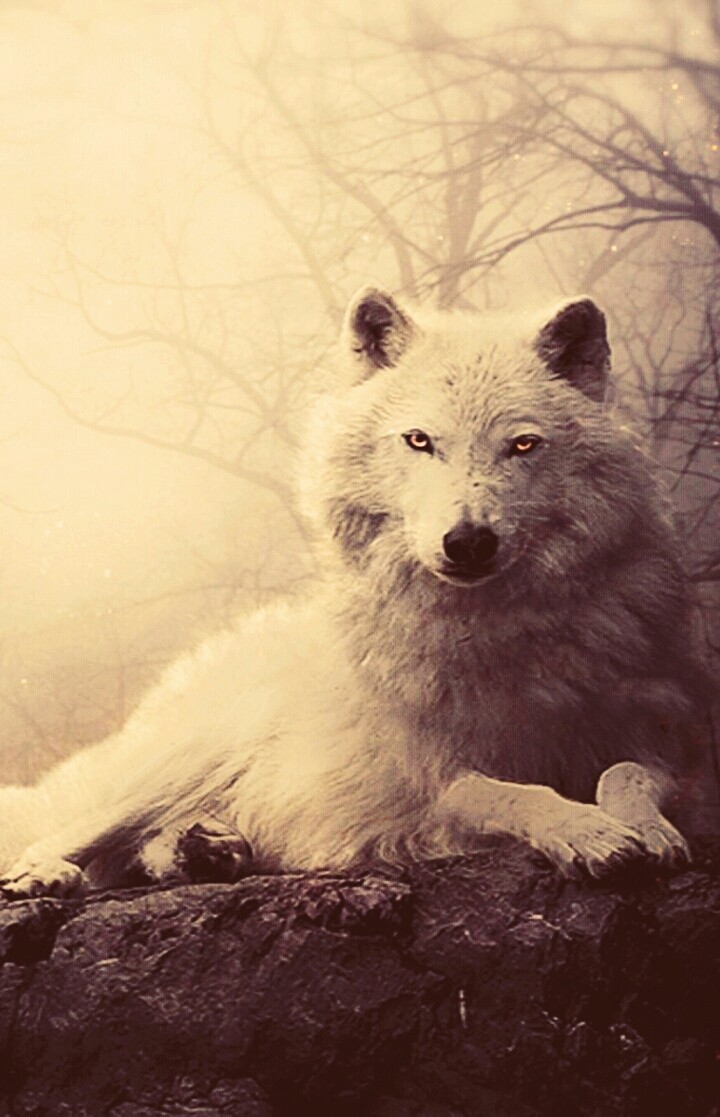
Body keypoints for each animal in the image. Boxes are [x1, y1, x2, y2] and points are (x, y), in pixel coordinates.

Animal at [0, 286, 712, 899]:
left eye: (522, 445)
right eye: (420, 441)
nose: (467, 542)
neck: (497, 629)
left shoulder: (665, 738)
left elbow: (627, 774)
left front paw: (644, 829)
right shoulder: (429, 782)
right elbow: (506, 793)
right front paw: (587, 832)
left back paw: (207, 849)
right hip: (182, 760)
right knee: (68, 835)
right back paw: (48, 873)